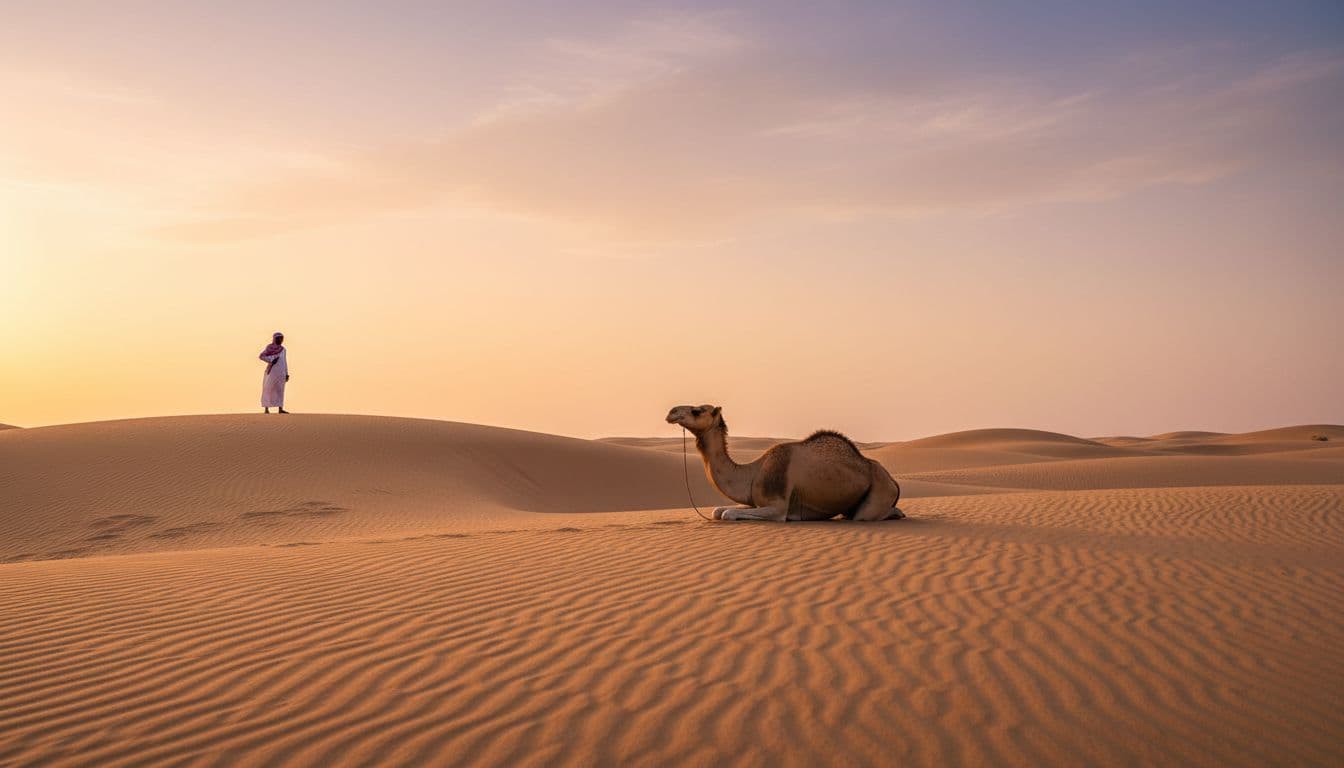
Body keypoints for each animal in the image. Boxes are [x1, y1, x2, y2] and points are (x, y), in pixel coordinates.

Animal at [666, 404, 905, 522]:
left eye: (697, 410)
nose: (671, 412)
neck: (754, 471)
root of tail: (894, 482)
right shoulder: (757, 501)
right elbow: (718, 510)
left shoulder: (777, 506)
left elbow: (728, 514)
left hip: (879, 492)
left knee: (866, 515)